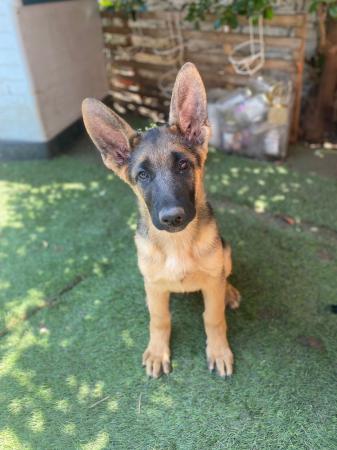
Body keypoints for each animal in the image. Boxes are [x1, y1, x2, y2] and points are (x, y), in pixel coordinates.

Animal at [81, 61, 239, 378]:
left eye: (183, 165)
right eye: (143, 175)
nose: (172, 218)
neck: (177, 244)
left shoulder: (211, 284)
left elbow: (213, 317)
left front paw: (218, 351)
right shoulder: (155, 287)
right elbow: (159, 318)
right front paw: (157, 351)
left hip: (226, 253)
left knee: (225, 276)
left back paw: (230, 291)